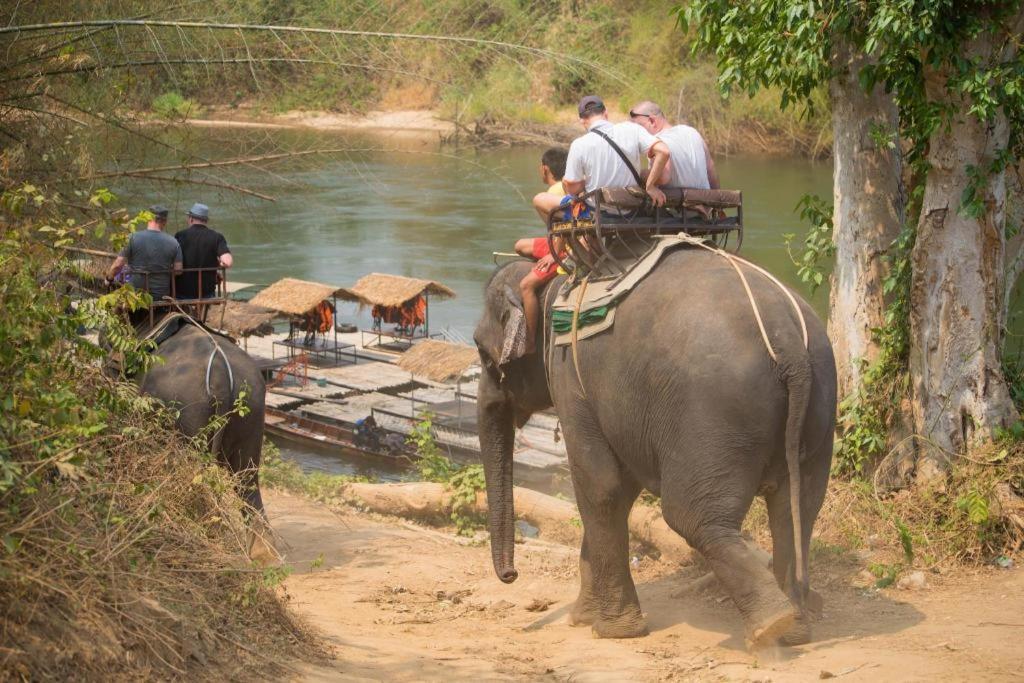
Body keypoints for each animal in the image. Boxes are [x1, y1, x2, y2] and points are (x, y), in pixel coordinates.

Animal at [475, 249, 835, 647]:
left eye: (482, 352)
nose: (510, 575)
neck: (555, 284)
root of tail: (788, 343)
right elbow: (619, 488)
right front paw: (583, 619)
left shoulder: (569, 377)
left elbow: (600, 487)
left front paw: (612, 631)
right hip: (819, 408)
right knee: (796, 511)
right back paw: (794, 630)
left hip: (712, 418)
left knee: (692, 517)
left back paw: (771, 625)